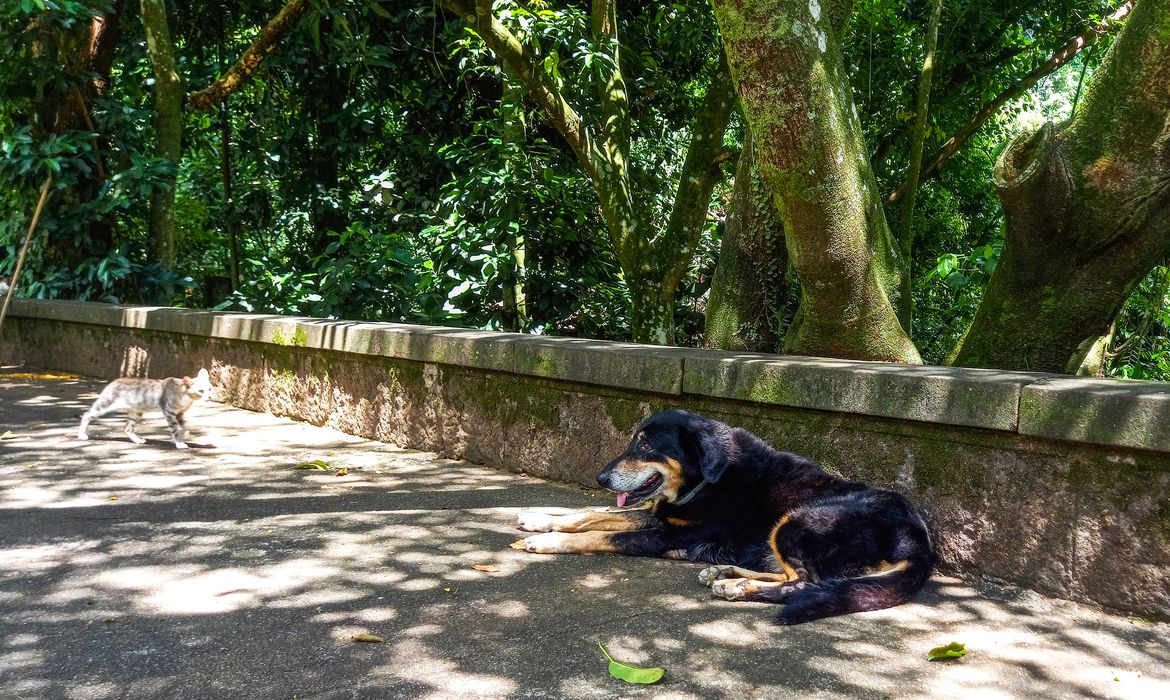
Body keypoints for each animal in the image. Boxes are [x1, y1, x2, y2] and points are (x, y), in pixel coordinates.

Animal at [77, 367, 215, 449]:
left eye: (210, 389)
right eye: (201, 391)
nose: (209, 397)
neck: (185, 396)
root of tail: (113, 382)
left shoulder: (180, 413)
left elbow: (183, 426)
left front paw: (185, 435)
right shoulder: (169, 412)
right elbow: (175, 429)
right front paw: (180, 443)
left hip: (136, 411)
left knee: (127, 428)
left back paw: (138, 440)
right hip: (106, 403)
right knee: (87, 414)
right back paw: (81, 435)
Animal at [512, 412, 931, 627]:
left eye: (646, 444)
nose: (600, 478)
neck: (707, 480)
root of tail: (918, 540)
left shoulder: (665, 535)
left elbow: (600, 535)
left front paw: (548, 540)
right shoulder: (659, 516)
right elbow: (592, 515)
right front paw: (539, 518)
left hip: (797, 521)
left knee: (804, 582)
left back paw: (735, 587)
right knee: (791, 575)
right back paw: (724, 573)